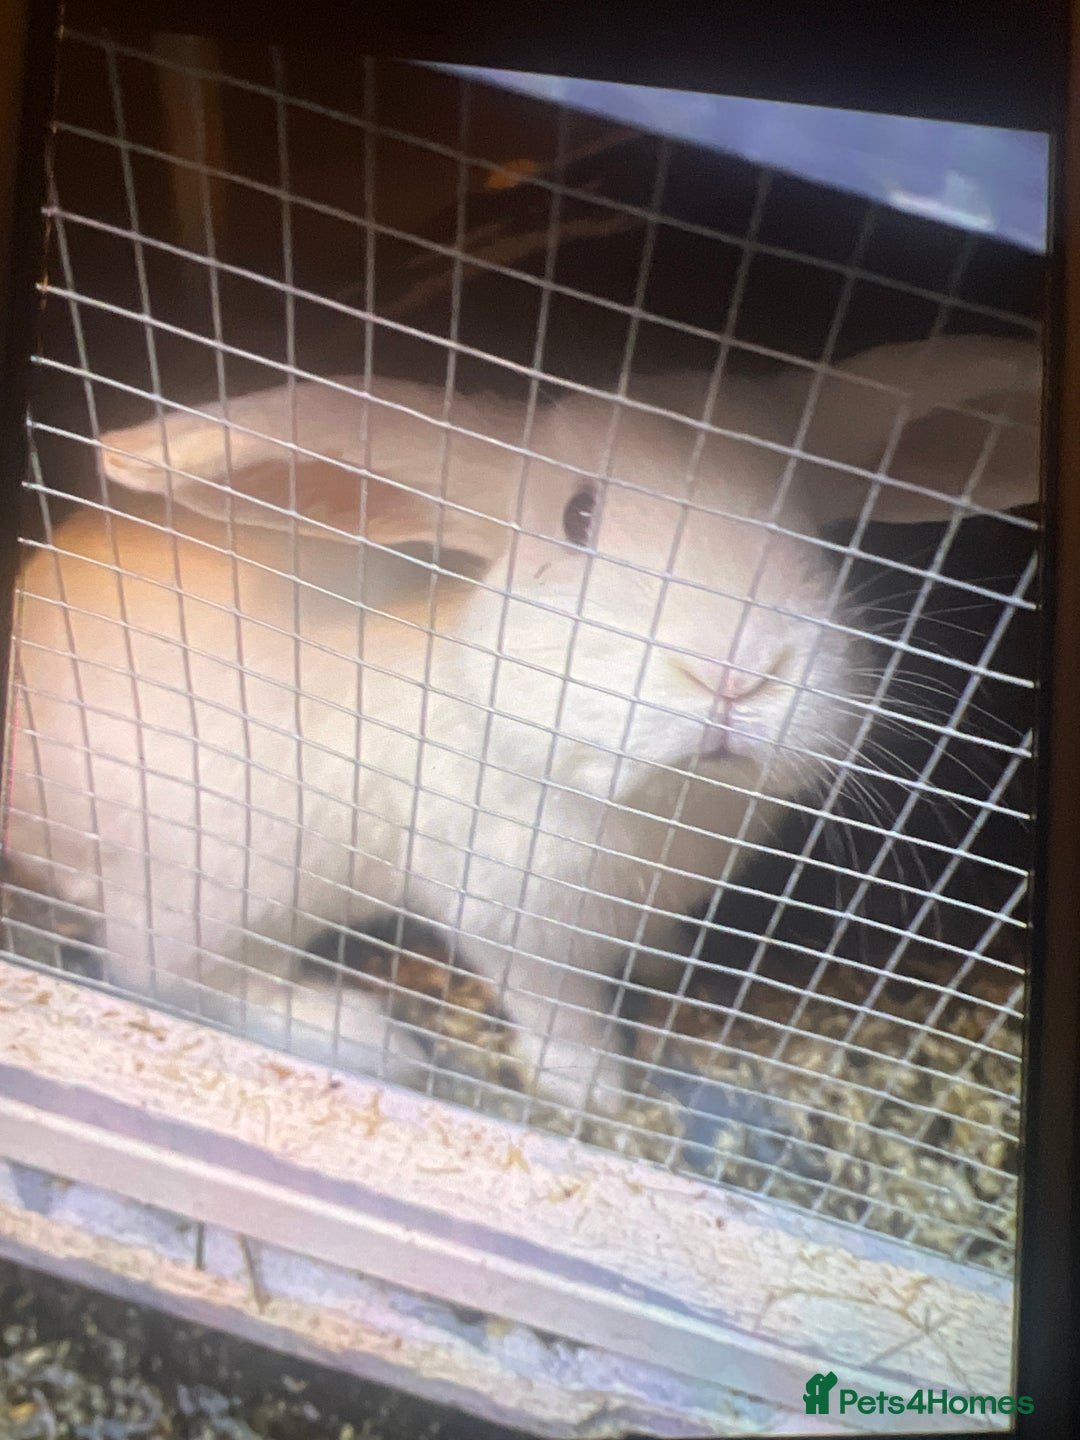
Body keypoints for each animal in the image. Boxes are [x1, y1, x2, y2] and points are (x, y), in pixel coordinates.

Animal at [2, 333, 1041, 1113]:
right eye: (577, 520)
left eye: (816, 531)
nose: (735, 674)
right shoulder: (515, 920)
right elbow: (558, 1015)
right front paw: (598, 1093)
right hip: (227, 870)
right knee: (162, 973)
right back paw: (365, 1035)